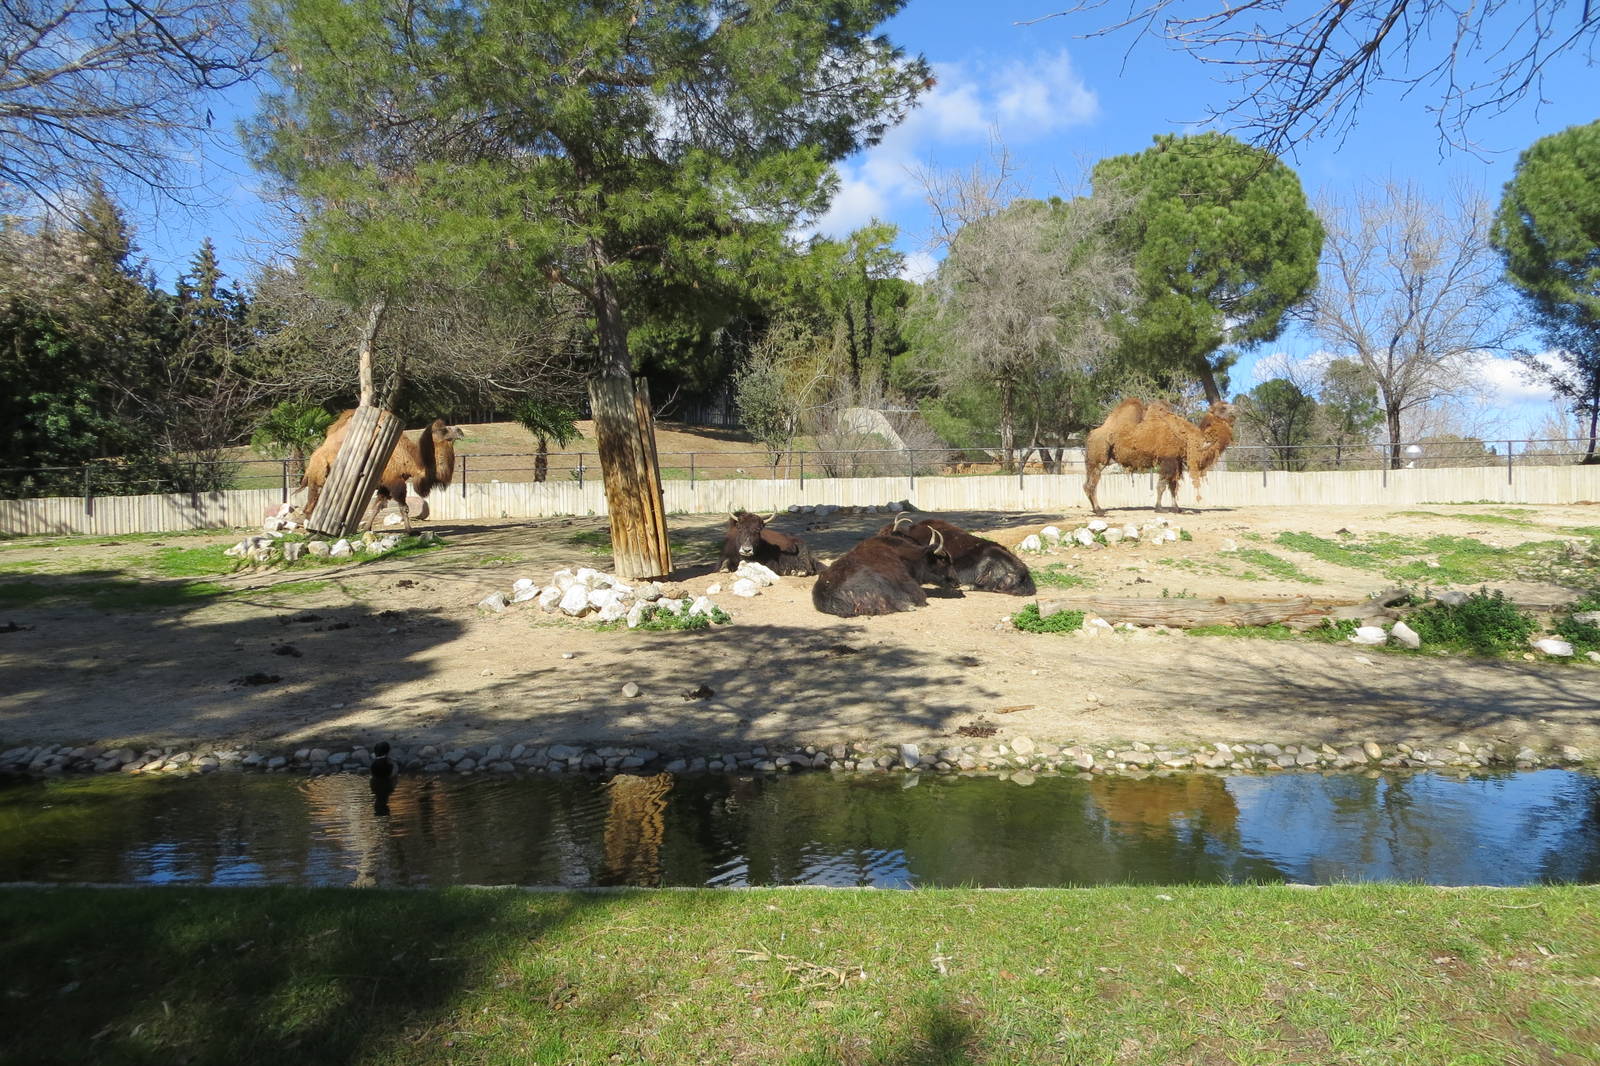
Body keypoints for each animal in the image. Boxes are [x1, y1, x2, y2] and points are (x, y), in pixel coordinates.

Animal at [301, 409, 465, 529]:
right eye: (444, 430)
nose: (460, 431)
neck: (409, 460)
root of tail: (312, 459)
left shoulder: (386, 485)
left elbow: (377, 506)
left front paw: (366, 528)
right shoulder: (395, 481)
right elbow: (403, 507)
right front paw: (411, 531)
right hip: (317, 478)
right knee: (310, 506)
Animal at [1083, 398, 1237, 515]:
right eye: (1223, 407)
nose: (1235, 409)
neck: (1187, 438)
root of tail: (1091, 435)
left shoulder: (1176, 461)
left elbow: (1173, 485)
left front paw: (1176, 508)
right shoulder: (1167, 459)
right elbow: (1162, 485)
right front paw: (1159, 508)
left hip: (1093, 461)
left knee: (1086, 483)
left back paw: (1094, 509)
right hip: (1099, 457)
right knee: (1092, 484)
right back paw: (1099, 510)